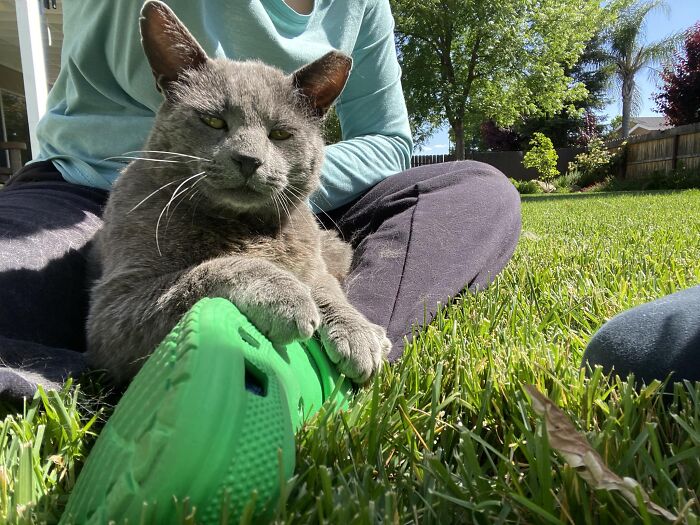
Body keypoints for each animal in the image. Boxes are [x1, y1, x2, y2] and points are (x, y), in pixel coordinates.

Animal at [86, 1, 388, 384]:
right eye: (213, 121)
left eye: (280, 134)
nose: (249, 159)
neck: (243, 227)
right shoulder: (111, 310)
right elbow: (208, 269)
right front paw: (286, 293)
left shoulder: (314, 261)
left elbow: (327, 288)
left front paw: (359, 332)